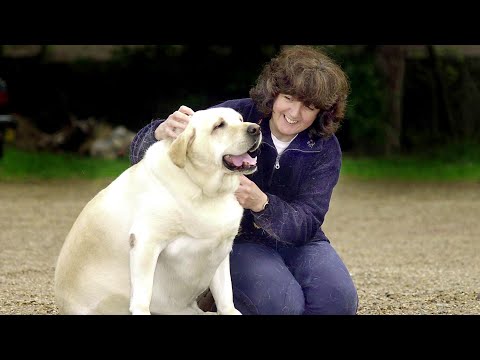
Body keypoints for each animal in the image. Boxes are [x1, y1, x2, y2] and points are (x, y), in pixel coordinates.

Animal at [55, 107, 262, 316]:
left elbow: (225, 292)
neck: (203, 189)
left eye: (240, 119)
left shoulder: (221, 248)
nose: (256, 128)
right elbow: (142, 294)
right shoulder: (145, 241)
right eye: (219, 125)